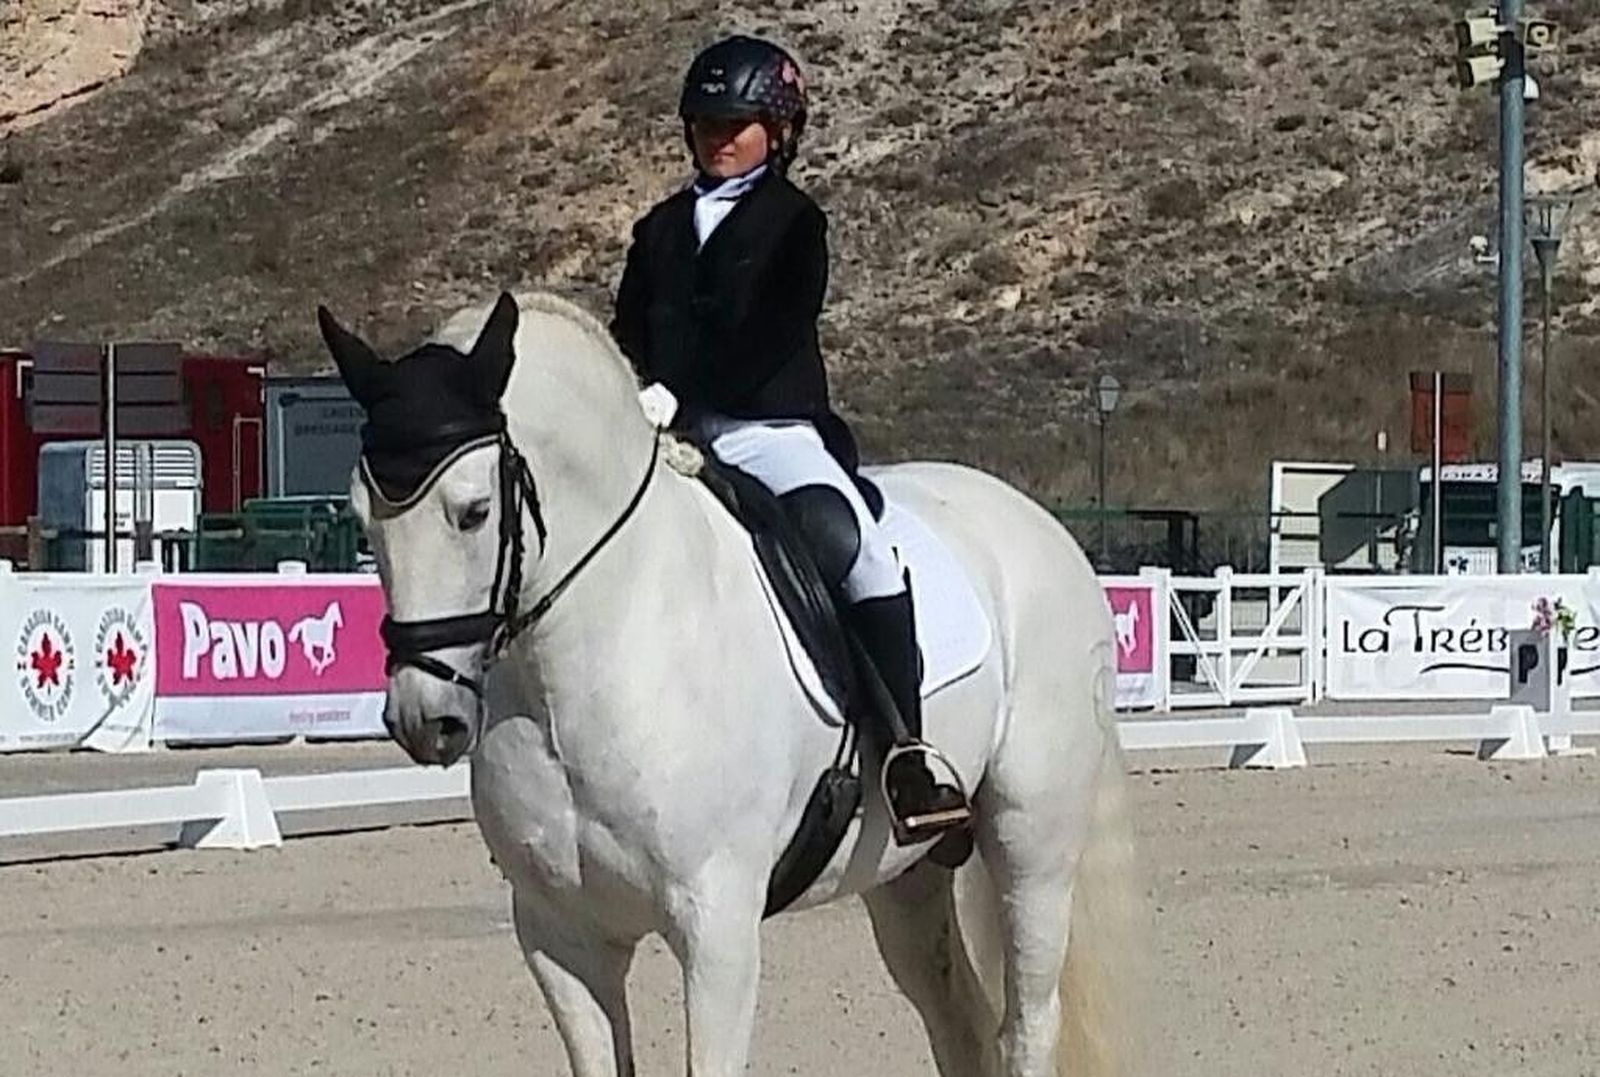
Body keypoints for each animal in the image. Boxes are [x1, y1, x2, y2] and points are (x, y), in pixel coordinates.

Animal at [318, 289, 1142, 1077]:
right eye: (363, 518)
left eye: (474, 511)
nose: (426, 718)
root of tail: (1042, 527)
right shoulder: (560, 936)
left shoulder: (716, 926)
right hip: (902, 873)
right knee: (960, 1026)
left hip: (1031, 846)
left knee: (1026, 1026)